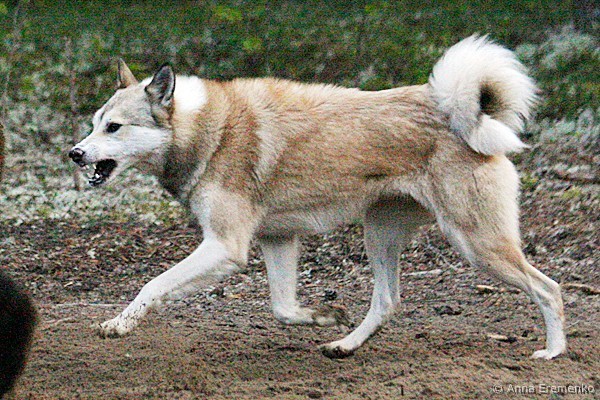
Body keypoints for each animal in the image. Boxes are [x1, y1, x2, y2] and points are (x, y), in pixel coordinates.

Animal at [69, 36, 566, 360]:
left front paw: (119, 324)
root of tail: (466, 114)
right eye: (94, 124)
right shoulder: (277, 241)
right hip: (379, 234)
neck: (206, 129)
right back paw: (344, 344)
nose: (74, 153)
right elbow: (284, 309)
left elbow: (153, 285)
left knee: (550, 289)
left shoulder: (225, 248)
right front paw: (325, 317)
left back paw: (553, 352)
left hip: (477, 245)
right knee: (387, 302)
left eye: (113, 127)